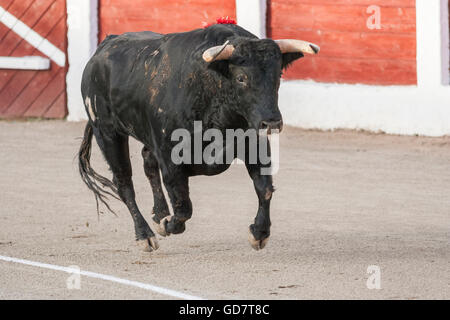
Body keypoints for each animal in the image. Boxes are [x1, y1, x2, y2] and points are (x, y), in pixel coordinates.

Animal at [79, 23, 318, 251]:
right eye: (241, 78)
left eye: (278, 76)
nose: (272, 122)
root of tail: (103, 47)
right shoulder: (169, 156)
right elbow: (184, 206)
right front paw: (168, 224)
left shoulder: (254, 143)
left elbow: (265, 188)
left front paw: (259, 234)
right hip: (107, 132)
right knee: (124, 182)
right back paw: (145, 236)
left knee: (147, 161)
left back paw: (160, 214)